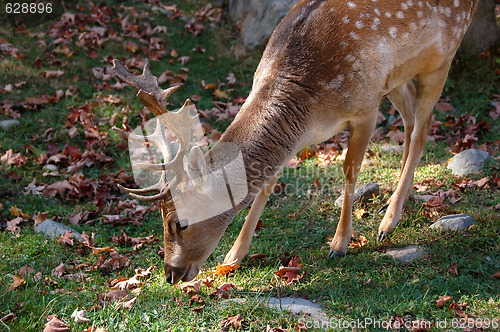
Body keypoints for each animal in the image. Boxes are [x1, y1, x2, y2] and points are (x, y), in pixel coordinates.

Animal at [112, 0, 476, 282]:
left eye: (180, 223)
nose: (170, 274)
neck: (309, 105)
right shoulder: (301, 134)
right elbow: (267, 184)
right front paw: (234, 255)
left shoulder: (365, 108)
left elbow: (349, 172)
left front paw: (339, 245)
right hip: (396, 77)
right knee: (412, 120)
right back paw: (397, 201)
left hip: (442, 56)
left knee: (421, 129)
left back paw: (389, 221)